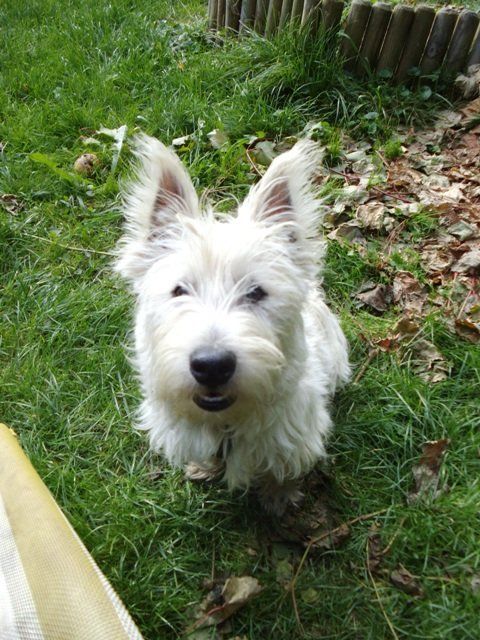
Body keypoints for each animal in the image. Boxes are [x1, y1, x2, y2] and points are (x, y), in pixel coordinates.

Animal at [115, 135, 350, 515]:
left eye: (256, 292)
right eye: (179, 290)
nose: (211, 366)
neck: (225, 423)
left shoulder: (294, 438)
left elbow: (281, 472)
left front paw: (278, 498)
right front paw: (204, 467)